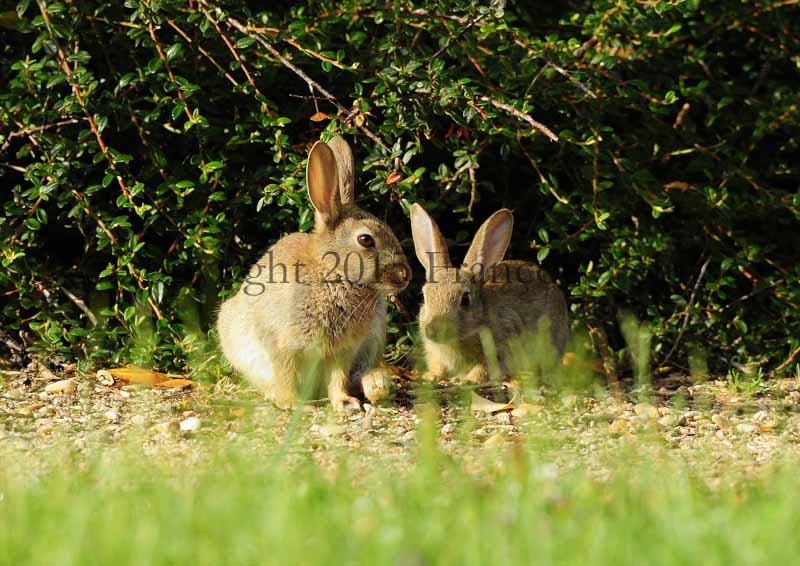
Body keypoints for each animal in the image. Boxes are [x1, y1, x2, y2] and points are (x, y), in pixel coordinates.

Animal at [216, 138, 410, 412]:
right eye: (365, 240)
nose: (405, 275)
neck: (333, 274)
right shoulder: (282, 346)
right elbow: (285, 375)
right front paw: (294, 404)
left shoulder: (341, 352)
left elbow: (337, 379)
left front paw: (345, 403)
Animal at [412, 205, 568, 386]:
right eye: (424, 297)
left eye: (465, 299)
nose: (433, 330)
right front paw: (431, 376)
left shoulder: (502, 345)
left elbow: (485, 367)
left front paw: (468, 380)